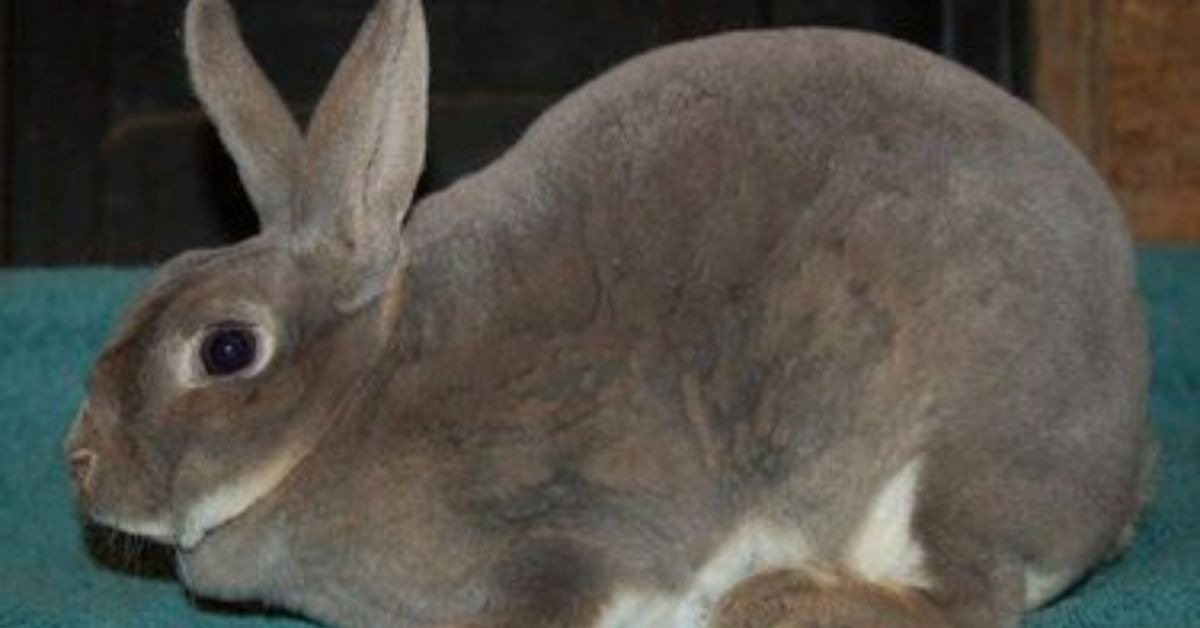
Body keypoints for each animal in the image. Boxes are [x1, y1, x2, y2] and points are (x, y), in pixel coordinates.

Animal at [63, 0, 1154, 626]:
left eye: (226, 348)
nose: (80, 463)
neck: (357, 401)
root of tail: (1115, 484)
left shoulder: (569, 526)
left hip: (953, 449)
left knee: (974, 598)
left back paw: (778, 601)